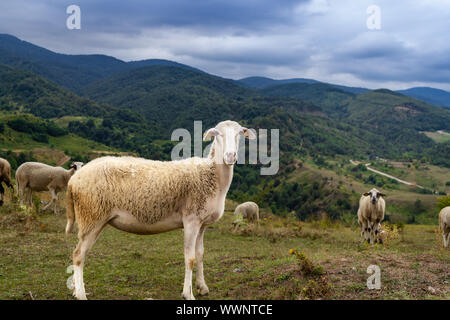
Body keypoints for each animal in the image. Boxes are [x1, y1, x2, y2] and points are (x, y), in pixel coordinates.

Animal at [65, 120, 258, 300]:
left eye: (240, 134)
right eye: (217, 134)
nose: (231, 156)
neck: (213, 175)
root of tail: (74, 180)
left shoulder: (202, 224)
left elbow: (200, 254)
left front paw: (202, 287)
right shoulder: (191, 220)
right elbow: (190, 258)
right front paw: (188, 293)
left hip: (92, 218)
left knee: (80, 252)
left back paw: (75, 289)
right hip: (92, 216)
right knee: (78, 255)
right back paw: (81, 294)